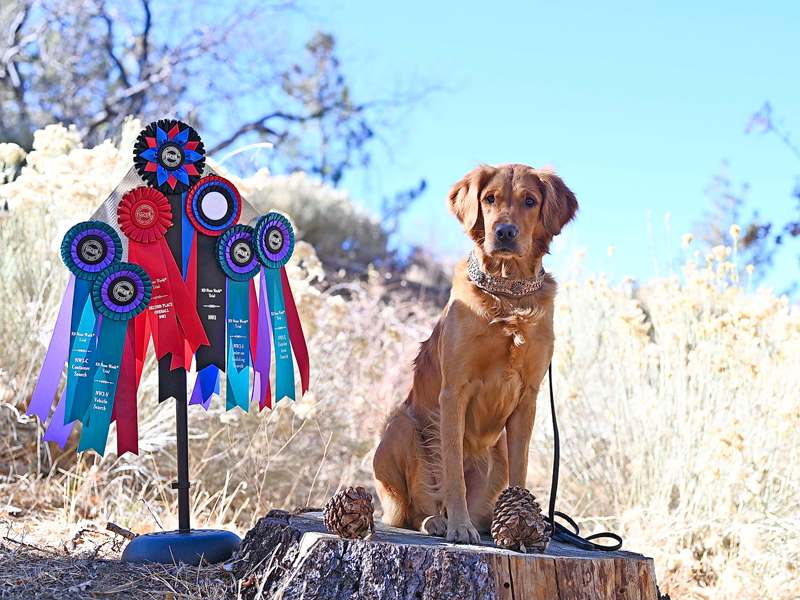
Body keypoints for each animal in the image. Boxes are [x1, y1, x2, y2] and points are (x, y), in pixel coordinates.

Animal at [372, 163, 580, 544]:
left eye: (530, 201)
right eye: (490, 199)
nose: (505, 232)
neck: (508, 294)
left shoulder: (528, 399)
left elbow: (521, 472)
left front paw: (525, 524)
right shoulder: (454, 391)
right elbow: (453, 469)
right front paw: (459, 525)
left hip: (495, 460)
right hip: (401, 427)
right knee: (413, 510)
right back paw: (437, 521)